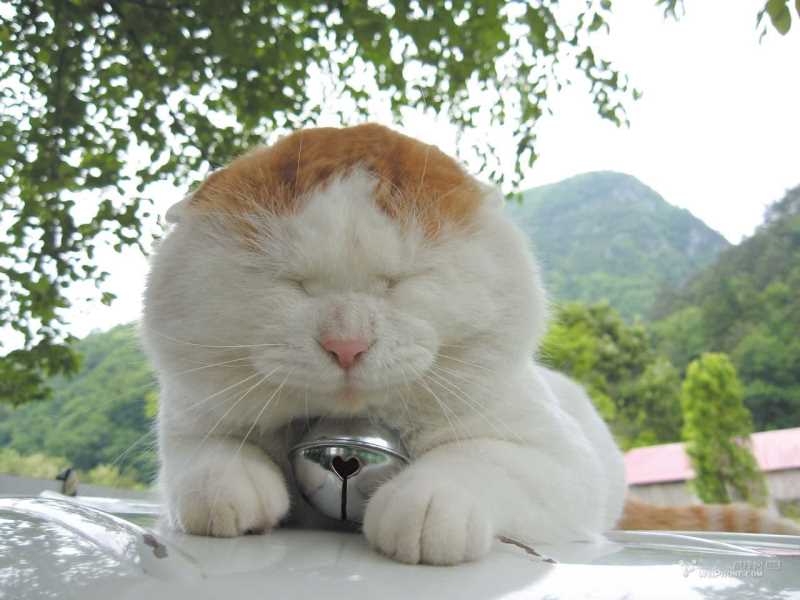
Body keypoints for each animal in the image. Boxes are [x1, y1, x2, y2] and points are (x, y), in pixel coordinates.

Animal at [142, 123, 797, 566]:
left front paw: (427, 502)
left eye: (400, 282)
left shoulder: (561, 462)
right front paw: (229, 487)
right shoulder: (187, 423)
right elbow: (207, 459)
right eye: (292, 283)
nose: (346, 345)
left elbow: (479, 460)